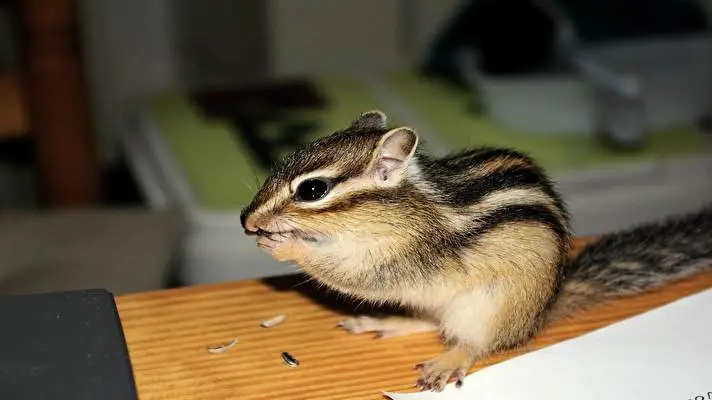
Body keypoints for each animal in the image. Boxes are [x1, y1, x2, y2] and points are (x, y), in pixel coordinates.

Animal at [240, 110, 712, 392]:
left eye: (313, 190)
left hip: (489, 310)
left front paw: (285, 245)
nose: (246, 219)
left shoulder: (405, 256)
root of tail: (541, 313)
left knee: (475, 343)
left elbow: (355, 275)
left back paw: (450, 359)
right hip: (438, 305)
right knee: (429, 321)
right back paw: (387, 323)